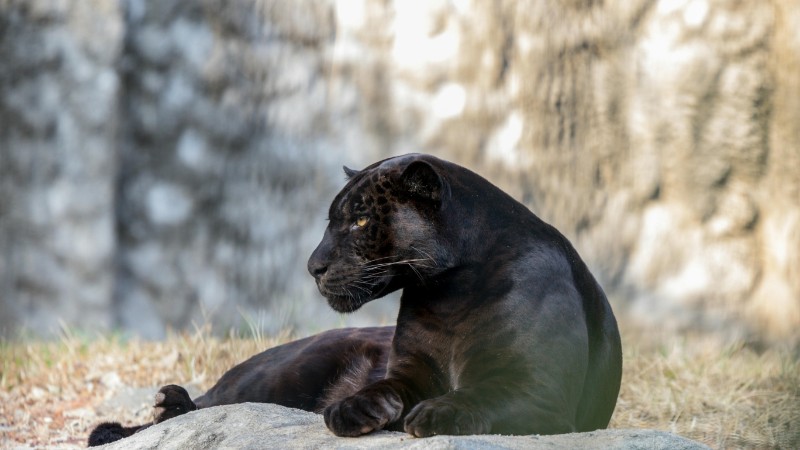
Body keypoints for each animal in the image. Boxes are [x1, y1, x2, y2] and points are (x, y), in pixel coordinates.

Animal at [88, 153, 622, 445]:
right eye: (333, 220)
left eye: (362, 220)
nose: (313, 266)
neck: (448, 293)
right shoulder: (409, 369)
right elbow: (384, 385)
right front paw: (351, 409)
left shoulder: (540, 390)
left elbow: (486, 393)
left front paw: (434, 413)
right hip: (279, 376)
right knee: (209, 404)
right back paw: (155, 411)